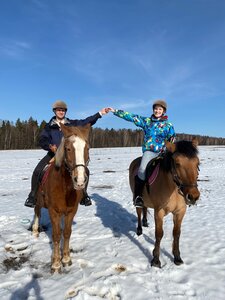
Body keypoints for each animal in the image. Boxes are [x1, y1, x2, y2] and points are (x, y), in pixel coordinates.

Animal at [32, 123, 90, 274]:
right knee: (37, 211)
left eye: (87, 148)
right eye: (68, 148)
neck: (65, 187)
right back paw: (35, 230)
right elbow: (57, 235)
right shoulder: (54, 211)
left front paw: (66, 258)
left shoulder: (71, 211)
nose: (80, 180)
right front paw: (56, 264)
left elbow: (67, 232)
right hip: (38, 201)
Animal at [128, 139, 200, 268]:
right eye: (177, 163)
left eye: (198, 163)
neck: (173, 188)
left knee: (145, 208)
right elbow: (159, 234)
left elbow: (176, 233)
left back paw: (145, 222)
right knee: (139, 211)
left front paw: (177, 257)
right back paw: (139, 230)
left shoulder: (180, 212)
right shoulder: (159, 212)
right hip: (137, 198)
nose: (193, 196)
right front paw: (156, 260)